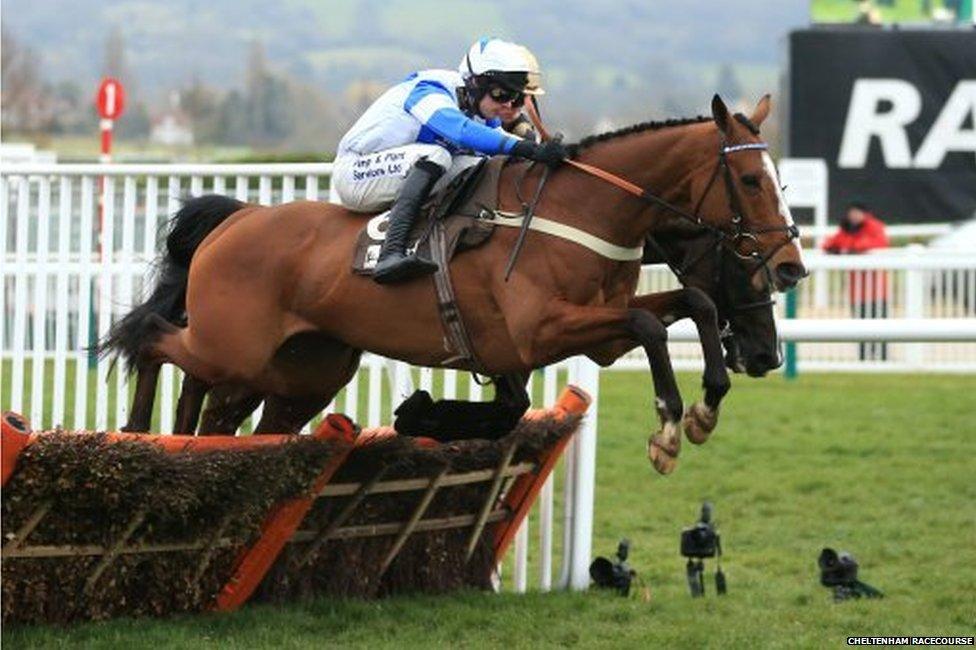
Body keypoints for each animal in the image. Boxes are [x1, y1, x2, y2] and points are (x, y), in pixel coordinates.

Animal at [103, 93, 804, 470]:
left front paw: (706, 406)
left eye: (780, 180)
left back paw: (178, 440)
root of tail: (239, 218)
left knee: (222, 408)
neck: (581, 210)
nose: (790, 266)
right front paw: (668, 428)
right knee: (153, 337)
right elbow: (650, 322)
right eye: (750, 181)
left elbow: (693, 301)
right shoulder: (541, 330)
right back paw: (139, 431)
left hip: (300, 373)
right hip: (233, 346)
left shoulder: (590, 336)